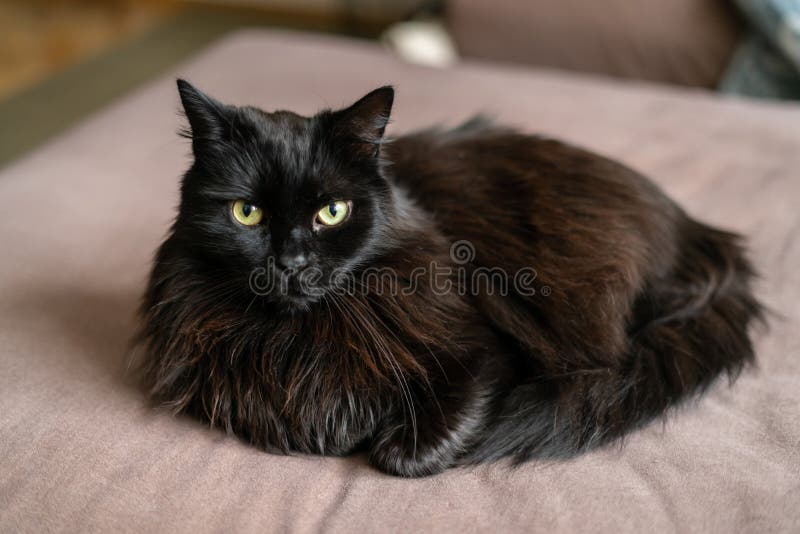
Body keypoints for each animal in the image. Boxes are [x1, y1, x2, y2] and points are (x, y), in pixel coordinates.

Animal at [136, 81, 764, 480]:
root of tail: (705, 233)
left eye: (332, 212)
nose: (290, 262)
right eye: (248, 214)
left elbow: (409, 449)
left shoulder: (485, 351)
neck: (302, 338)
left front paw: (386, 442)